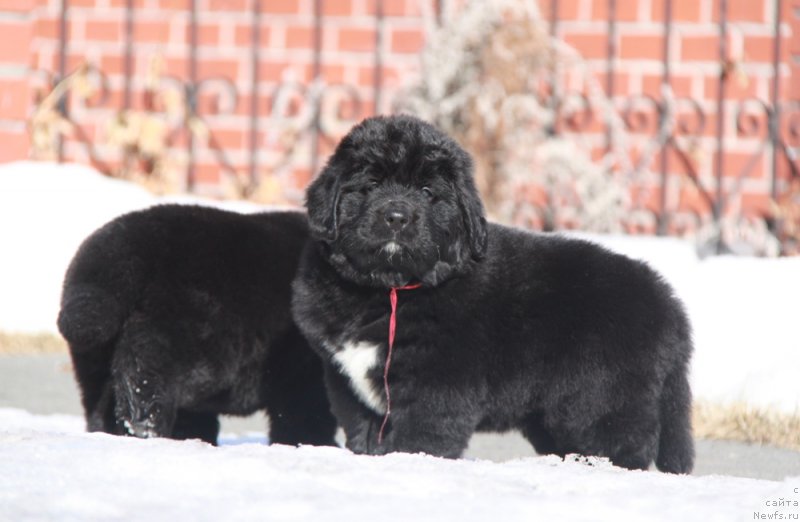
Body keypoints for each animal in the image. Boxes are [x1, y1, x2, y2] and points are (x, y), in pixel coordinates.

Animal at [57, 203, 338, 442]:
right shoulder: (307, 372)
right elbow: (306, 415)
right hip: (166, 339)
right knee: (144, 394)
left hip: (94, 351)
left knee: (101, 400)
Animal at [292, 114, 692, 472]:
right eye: (371, 184)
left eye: (427, 192)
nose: (397, 217)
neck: (392, 288)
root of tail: (670, 303)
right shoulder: (346, 384)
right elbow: (362, 432)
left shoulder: (437, 387)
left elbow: (420, 437)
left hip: (603, 399)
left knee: (626, 446)